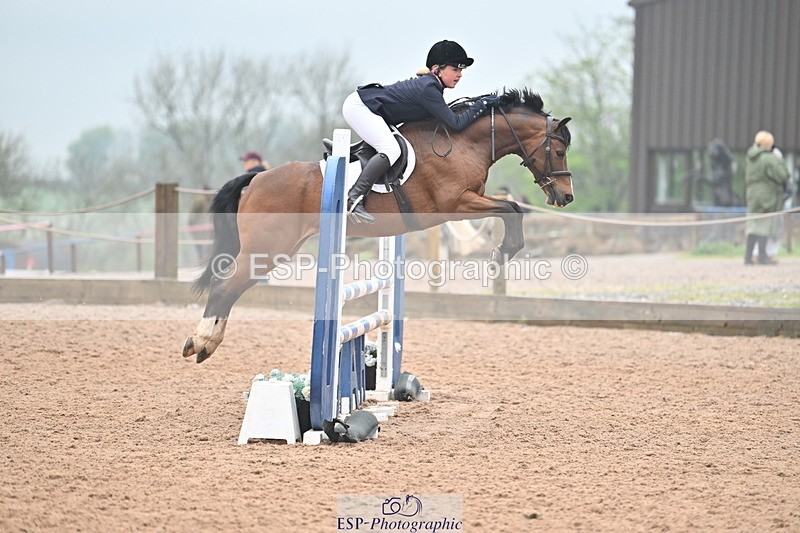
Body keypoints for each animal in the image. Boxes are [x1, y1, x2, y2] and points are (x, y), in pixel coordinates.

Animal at [182, 88, 573, 363]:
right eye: (558, 152)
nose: (566, 197)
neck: (464, 142)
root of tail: (255, 179)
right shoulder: (456, 204)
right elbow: (511, 208)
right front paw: (502, 253)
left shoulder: (463, 203)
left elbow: (510, 208)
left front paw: (502, 253)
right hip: (266, 249)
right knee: (223, 287)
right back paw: (200, 342)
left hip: (276, 251)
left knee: (232, 289)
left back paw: (207, 344)